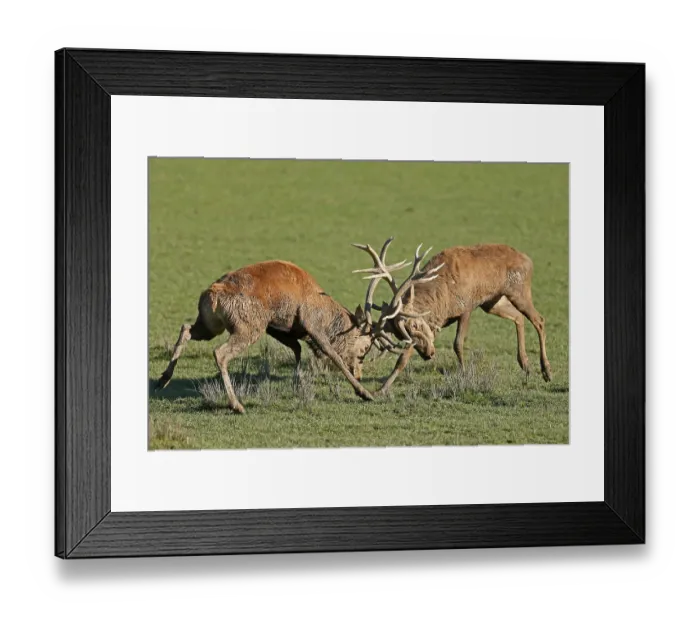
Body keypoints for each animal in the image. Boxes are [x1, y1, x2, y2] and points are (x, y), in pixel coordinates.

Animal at [154, 260, 375, 412]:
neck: (328, 315)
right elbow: (332, 354)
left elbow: (297, 348)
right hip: (249, 326)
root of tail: (212, 295)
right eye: (364, 348)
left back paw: (163, 379)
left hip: (210, 325)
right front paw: (365, 393)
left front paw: (298, 383)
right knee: (220, 352)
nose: (359, 374)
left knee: (186, 328)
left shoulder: (276, 326)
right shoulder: (311, 323)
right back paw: (236, 405)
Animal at [352, 237, 553, 395]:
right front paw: (380, 389)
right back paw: (525, 365)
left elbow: (458, 344)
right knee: (519, 317)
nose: (429, 354)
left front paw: (463, 375)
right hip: (492, 302)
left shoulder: (466, 307)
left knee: (539, 320)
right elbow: (402, 359)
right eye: (401, 335)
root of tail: (528, 260)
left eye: (415, 326)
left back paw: (547, 371)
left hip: (519, 290)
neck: (442, 300)